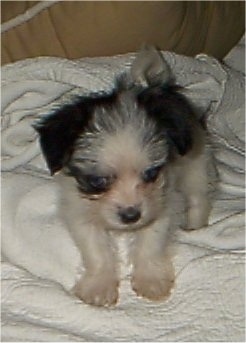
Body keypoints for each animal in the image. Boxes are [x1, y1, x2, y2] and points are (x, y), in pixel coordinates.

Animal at [34, 47, 210, 308]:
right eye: (98, 181)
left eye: (151, 173)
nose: (131, 216)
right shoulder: (79, 211)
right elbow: (96, 250)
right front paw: (99, 285)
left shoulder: (162, 203)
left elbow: (151, 243)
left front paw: (151, 280)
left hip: (197, 163)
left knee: (199, 197)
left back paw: (196, 226)